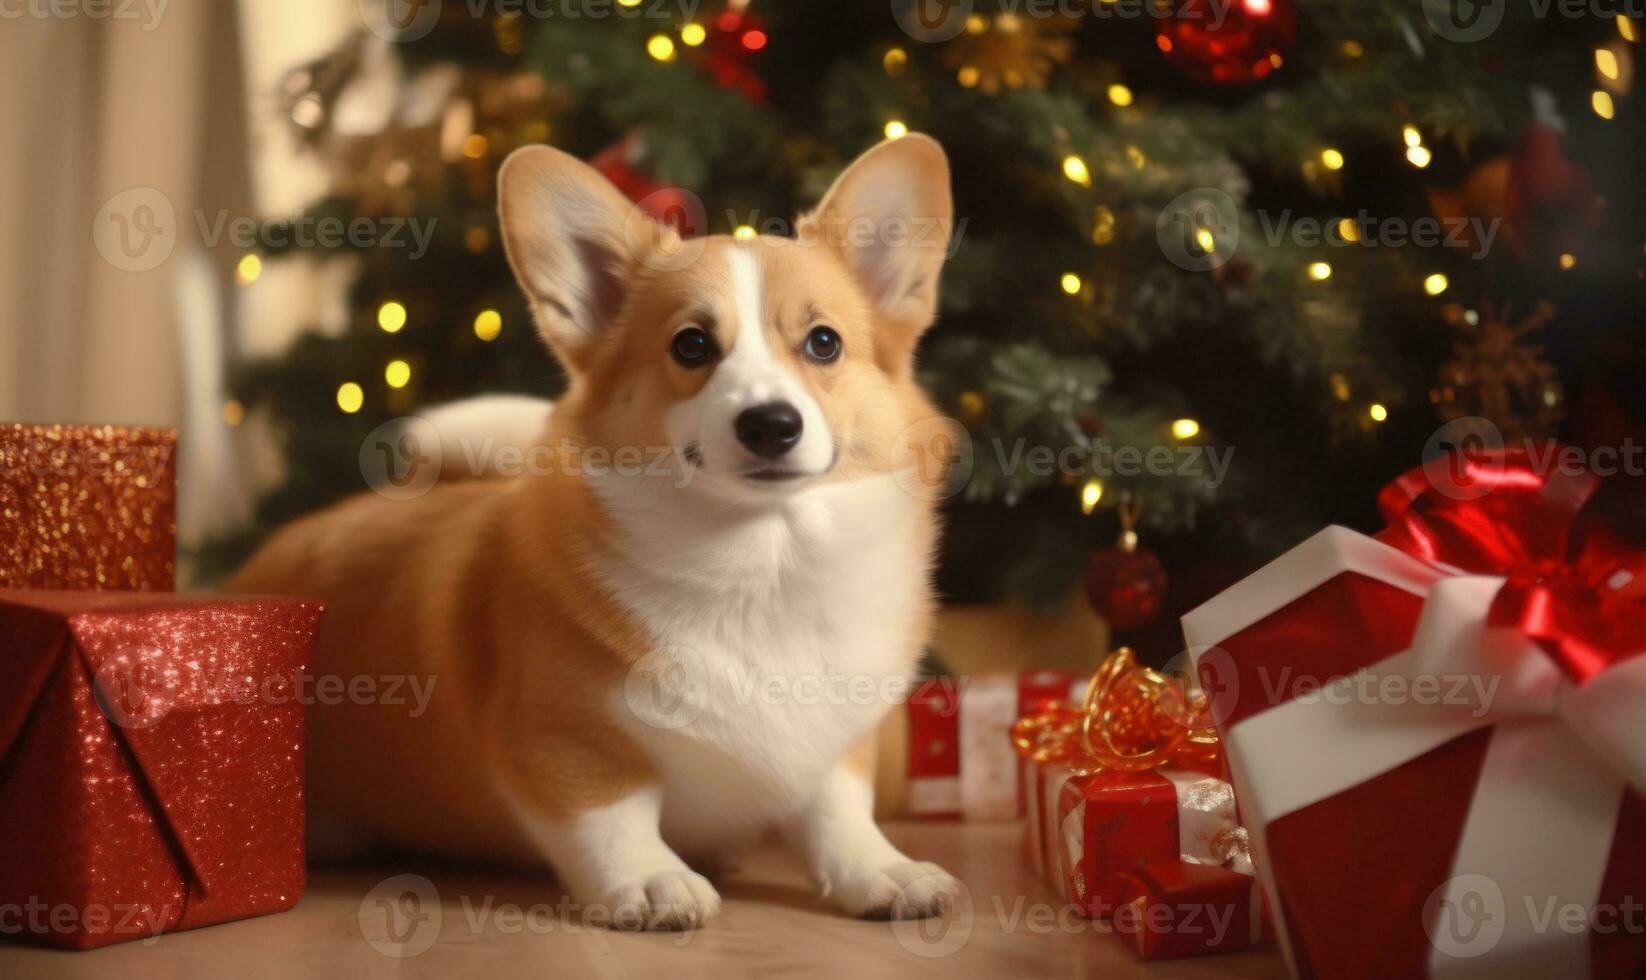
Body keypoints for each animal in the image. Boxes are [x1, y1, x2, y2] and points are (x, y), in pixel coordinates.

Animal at [235, 134, 961, 928]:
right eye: (692, 346)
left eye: (824, 342)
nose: (771, 424)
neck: (761, 563)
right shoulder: (566, 742)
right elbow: (612, 821)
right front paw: (652, 882)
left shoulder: (838, 746)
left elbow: (838, 812)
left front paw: (880, 871)